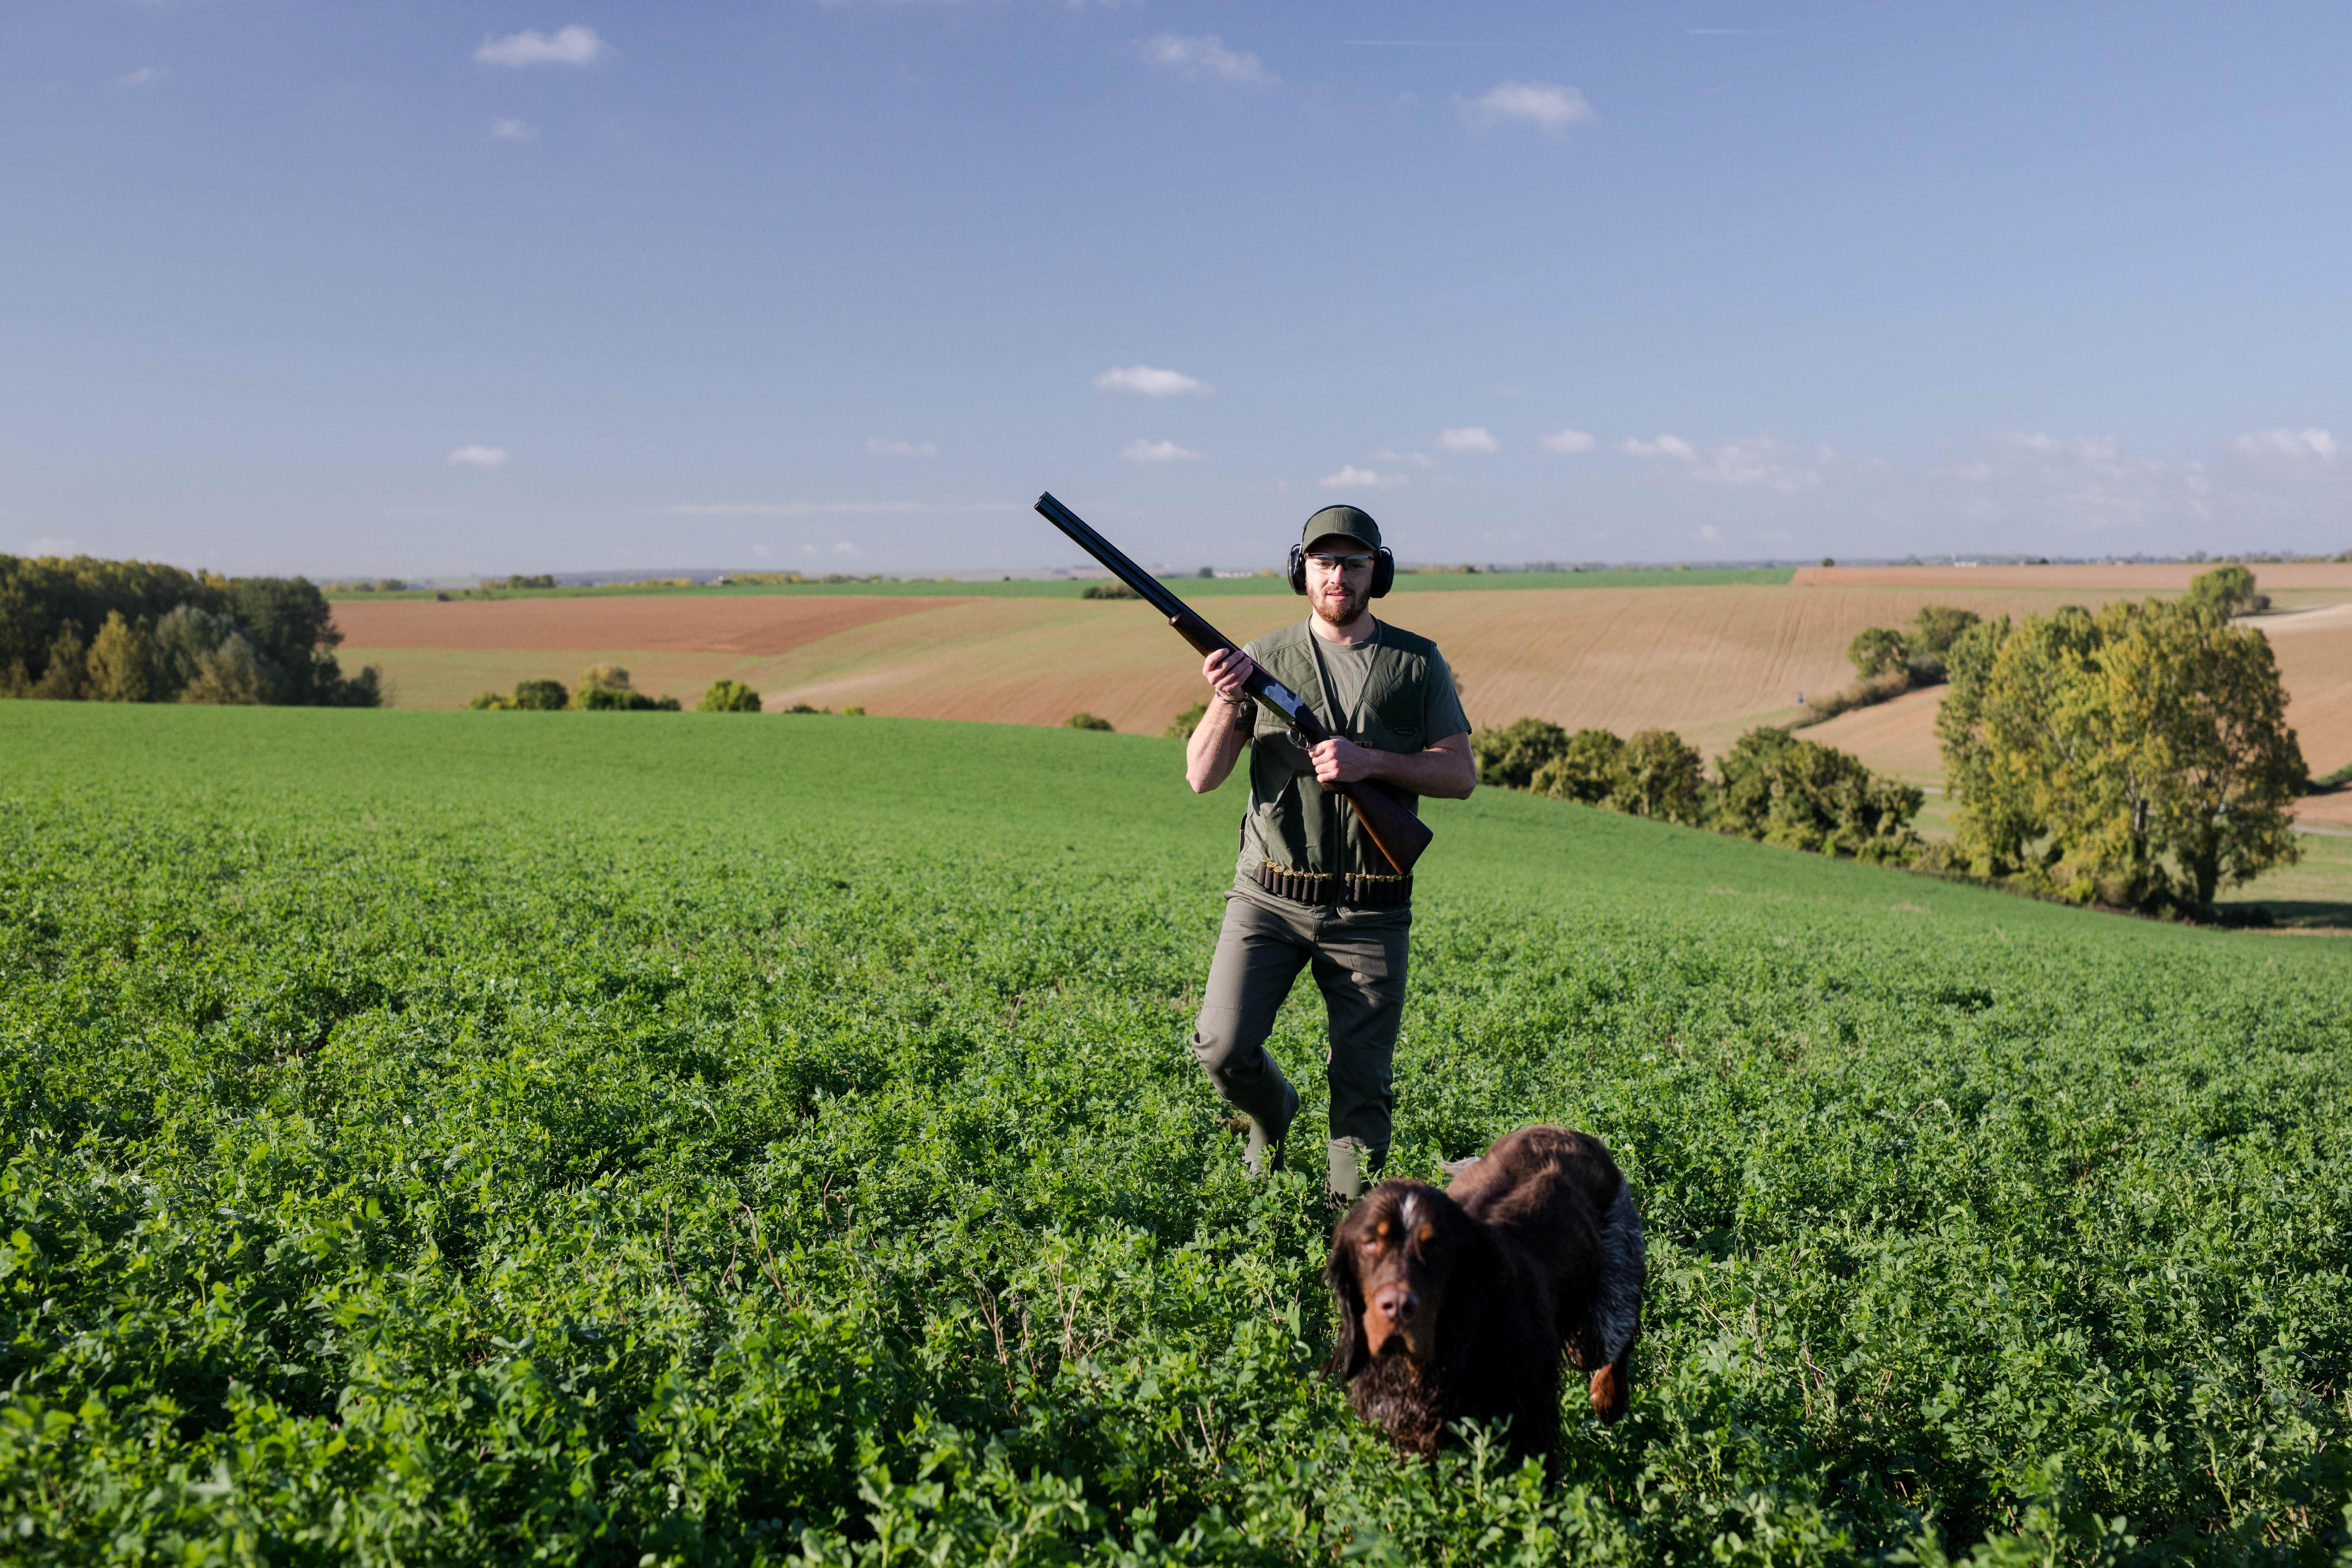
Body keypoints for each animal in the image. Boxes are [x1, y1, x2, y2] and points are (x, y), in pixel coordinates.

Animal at [1336, 1128, 1646, 1457]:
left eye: (1438, 1247)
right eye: (1370, 1243)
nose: (1396, 1306)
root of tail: (1571, 1133)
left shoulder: (1530, 1421)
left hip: (1599, 1316)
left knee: (1622, 1336)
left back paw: (1609, 1399)